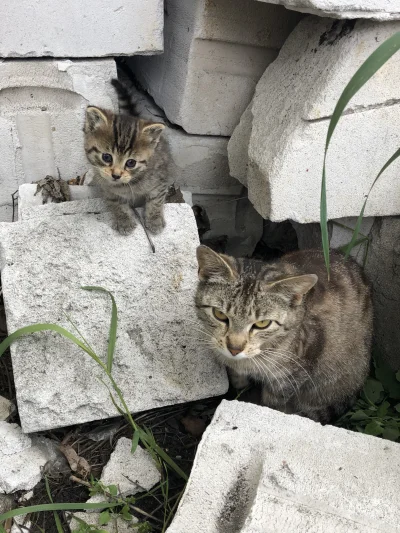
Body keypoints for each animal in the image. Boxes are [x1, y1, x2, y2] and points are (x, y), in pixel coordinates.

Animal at [83, 78, 171, 235]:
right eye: (106, 157)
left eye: (131, 163)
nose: (116, 175)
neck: (129, 183)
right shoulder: (107, 187)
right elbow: (116, 202)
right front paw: (124, 220)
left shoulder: (161, 178)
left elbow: (156, 199)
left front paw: (154, 220)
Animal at [195, 246, 374, 424]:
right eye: (219, 314)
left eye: (262, 323)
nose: (234, 348)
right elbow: (238, 379)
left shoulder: (289, 378)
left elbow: (272, 405)